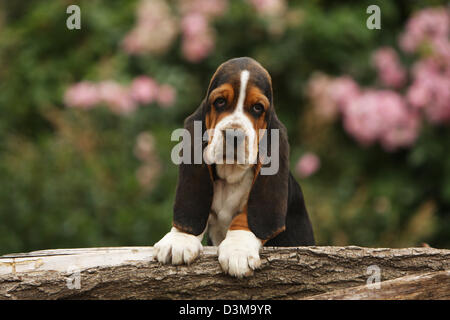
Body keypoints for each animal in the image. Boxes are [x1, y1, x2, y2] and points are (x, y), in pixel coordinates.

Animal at [154, 56, 312, 276]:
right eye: (219, 102)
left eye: (257, 108)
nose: (233, 135)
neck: (230, 176)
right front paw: (180, 238)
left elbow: (245, 216)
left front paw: (238, 250)